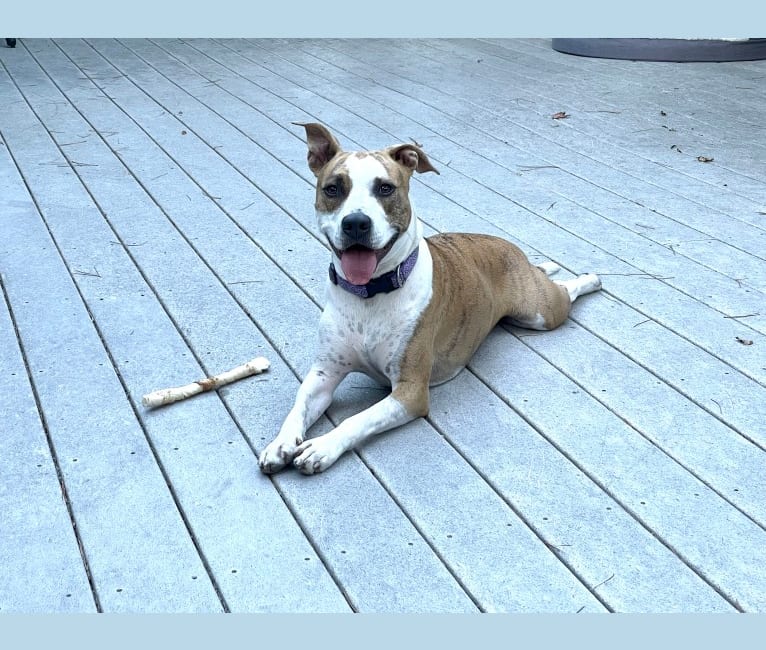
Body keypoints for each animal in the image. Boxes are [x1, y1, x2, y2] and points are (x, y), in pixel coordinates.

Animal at [260, 123, 604, 476]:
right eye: (333, 189)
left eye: (385, 188)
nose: (356, 222)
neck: (370, 294)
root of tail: (514, 252)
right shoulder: (323, 375)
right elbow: (298, 407)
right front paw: (280, 443)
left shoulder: (410, 392)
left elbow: (357, 419)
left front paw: (323, 446)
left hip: (541, 311)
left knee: (565, 291)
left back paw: (590, 278)